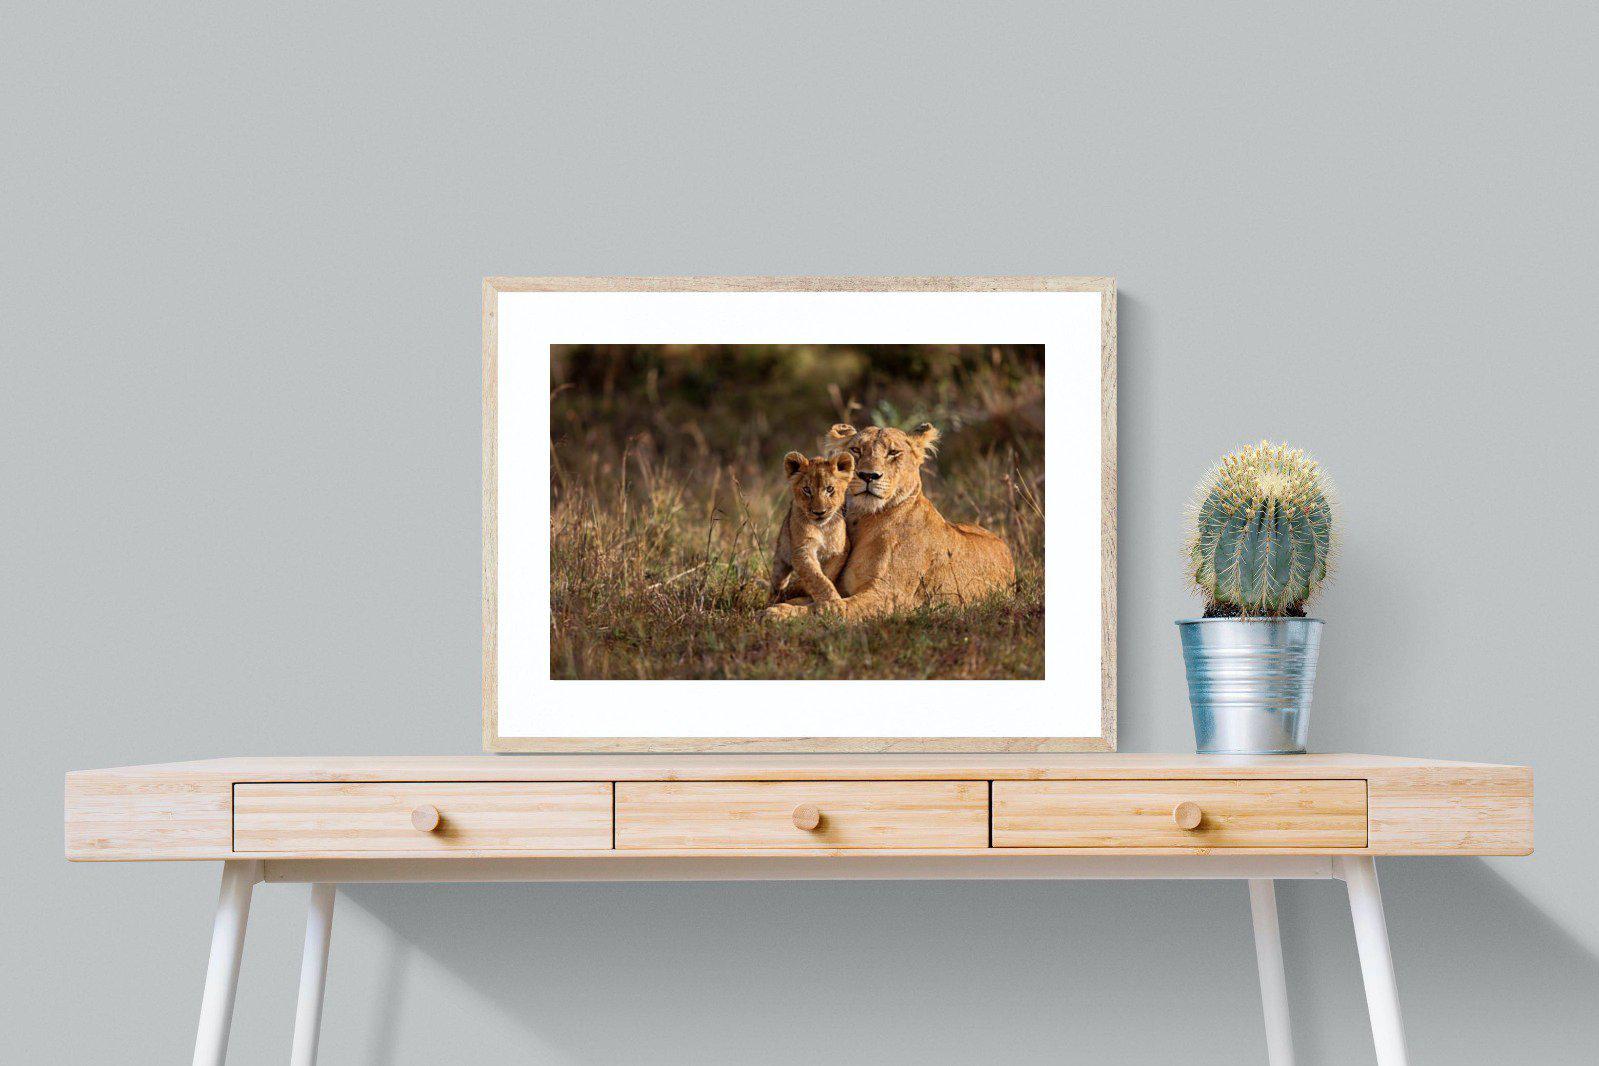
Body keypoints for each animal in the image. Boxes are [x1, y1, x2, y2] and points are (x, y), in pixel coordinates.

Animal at [769, 450, 855, 608]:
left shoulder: (840, 550)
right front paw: (832, 603)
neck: (823, 528)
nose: (819, 512)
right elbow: (816, 577)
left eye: (829, 489)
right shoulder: (802, 550)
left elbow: (827, 574)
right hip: (781, 557)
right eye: (807, 490)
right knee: (777, 582)